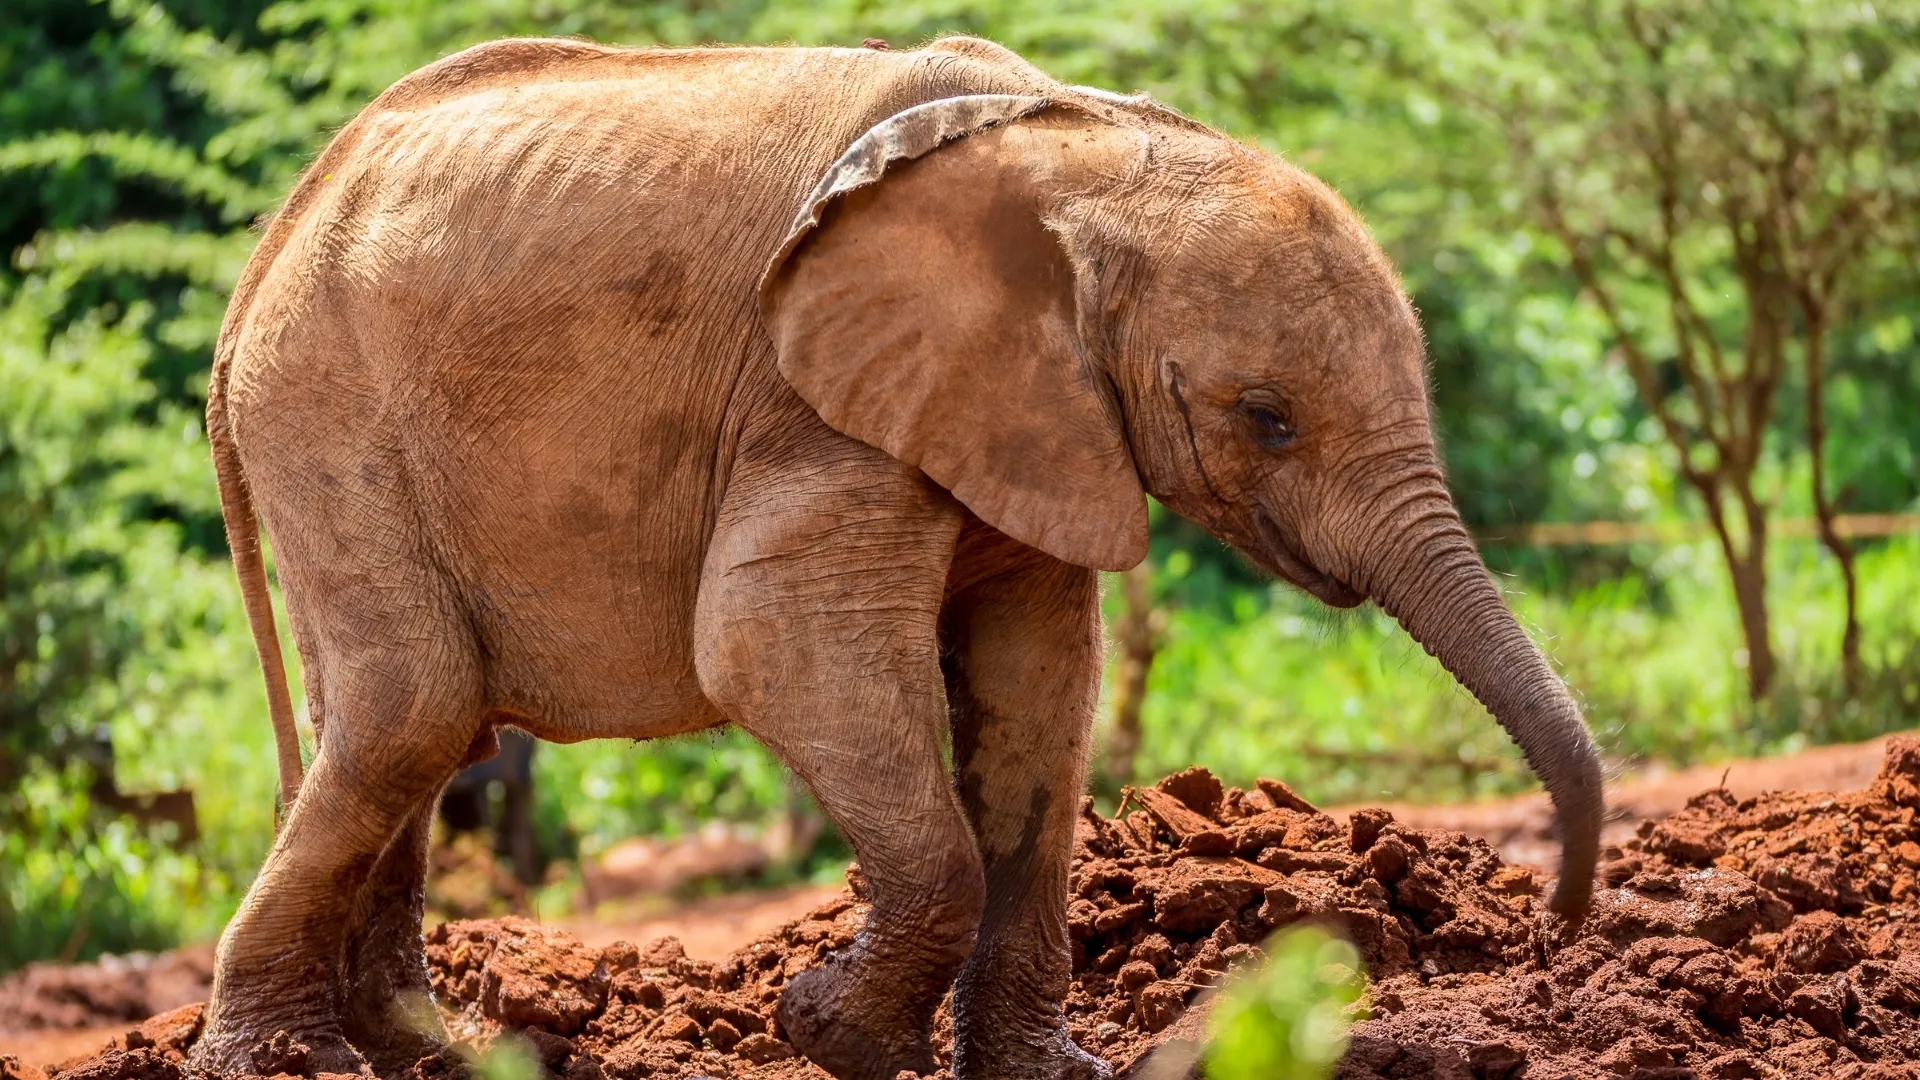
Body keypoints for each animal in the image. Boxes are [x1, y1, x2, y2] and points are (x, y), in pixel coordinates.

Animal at [193, 34, 1603, 1080]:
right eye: (1267, 417)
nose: (1553, 931)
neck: (1081, 147)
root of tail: (275, 232)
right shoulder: (813, 397)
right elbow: (772, 651)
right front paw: (832, 1036)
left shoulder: (1031, 416)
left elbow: (1039, 692)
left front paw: (1039, 1073)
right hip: (329, 413)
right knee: (412, 712)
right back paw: (281, 1060)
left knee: (409, 732)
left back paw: (420, 1049)